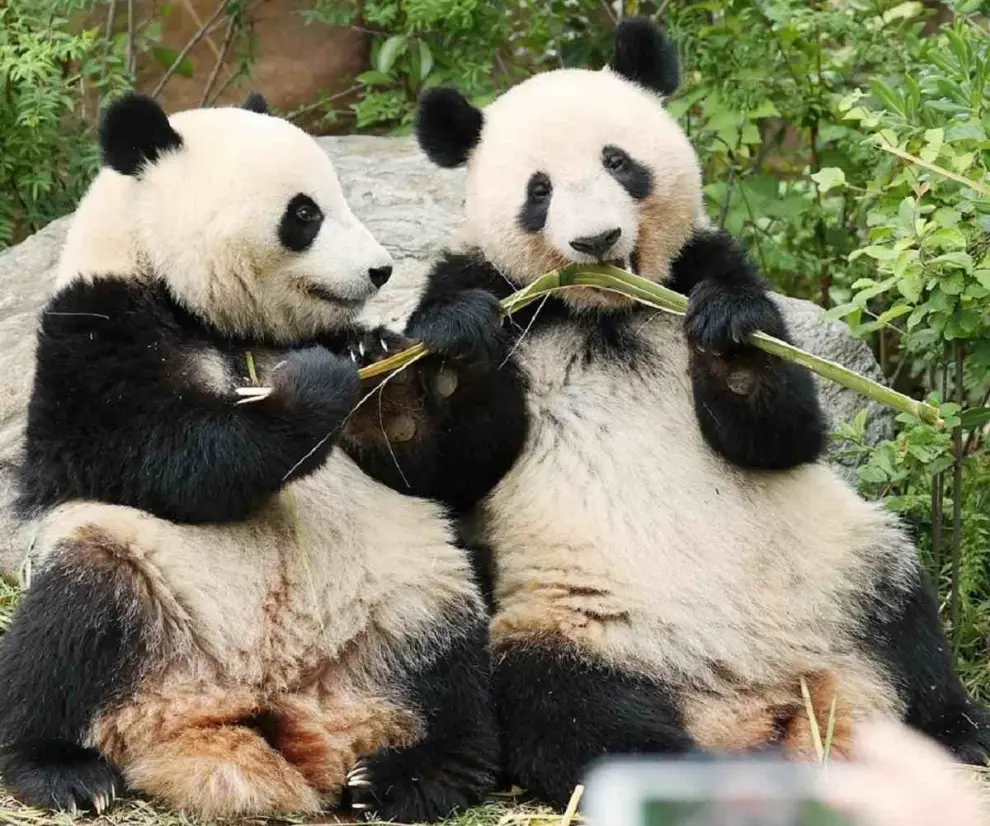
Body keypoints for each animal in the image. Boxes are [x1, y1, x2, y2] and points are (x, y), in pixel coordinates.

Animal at [0, 92, 497, 821]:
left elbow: (429, 463)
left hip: (411, 591)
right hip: (141, 578)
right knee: (64, 626)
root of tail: (262, 705)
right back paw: (62, 771)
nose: (380, 270)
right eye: (304, 214)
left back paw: (408, 775)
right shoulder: (90, 336)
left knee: (456, 665)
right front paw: (315, 386)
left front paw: (442, 338)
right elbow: (175, 457)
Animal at [341, 17, 990, 809]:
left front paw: (730, 337)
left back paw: (960, 733)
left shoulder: (709, 262)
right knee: (574, 716)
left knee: (911, 630)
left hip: (845, 573)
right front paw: (402, 390)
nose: (594, 241)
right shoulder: (481, 286)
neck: (604, 310)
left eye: (618, 162)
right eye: (538, 190)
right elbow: (461, 459)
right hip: (577, 627)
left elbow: (781, 432)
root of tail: (756, 696)